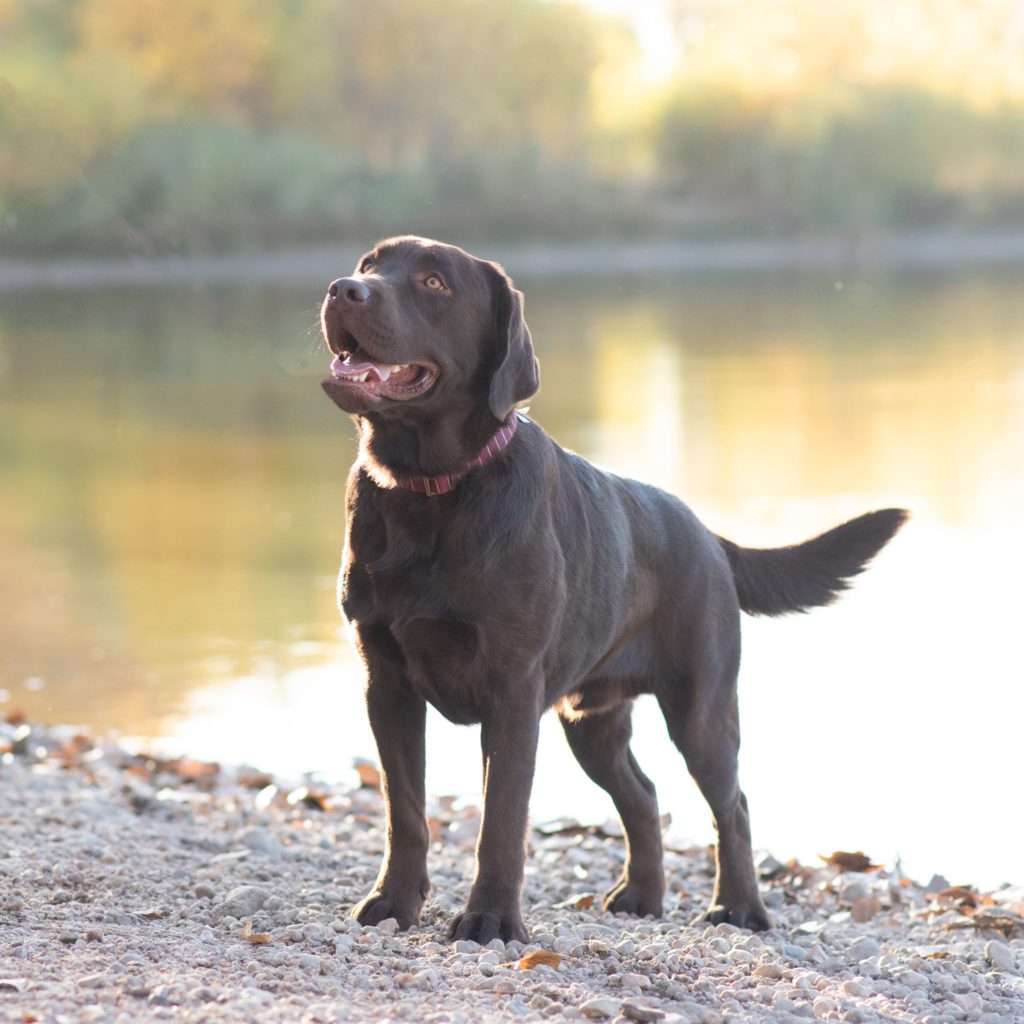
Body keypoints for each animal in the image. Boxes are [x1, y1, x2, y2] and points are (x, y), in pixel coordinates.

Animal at [319, 235, 905, 937]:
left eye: (435, 282)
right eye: (370, 265)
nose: (343, 289)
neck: (430, 493)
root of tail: (709, 535)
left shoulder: (511, 690)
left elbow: (501, 821)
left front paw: (490, 921)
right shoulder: (386, 683)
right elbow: (404, 810)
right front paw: (395, 902)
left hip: (701, 708)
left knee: (731, 803)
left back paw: (738, 907)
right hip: (592, 720)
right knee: (644, 796)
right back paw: (643, 895)